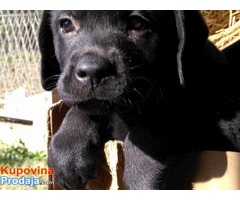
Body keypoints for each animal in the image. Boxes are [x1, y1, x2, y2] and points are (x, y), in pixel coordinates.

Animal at [38, 10, 240, 189]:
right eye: (66, 24)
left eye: (138, 24)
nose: (92, 71)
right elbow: (84, 110)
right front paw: (66, 147)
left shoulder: (227, 122)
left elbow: (156, 123)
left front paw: (141, 175)